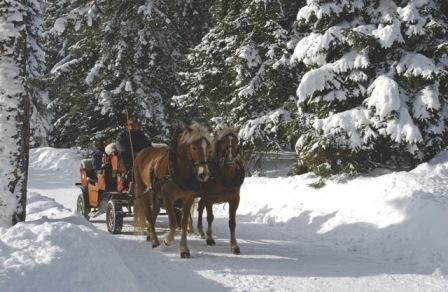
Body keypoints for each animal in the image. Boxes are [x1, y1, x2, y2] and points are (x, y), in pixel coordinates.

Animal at [133, 123, 214, 258]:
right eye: (194, 148)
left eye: (208, 149)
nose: (204, 174)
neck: (178, 171)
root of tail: (142, 152)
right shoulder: (168, 199)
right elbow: (173, 222)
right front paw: (167, 241)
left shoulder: (188, 198)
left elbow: (184, 221)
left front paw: (184, 249)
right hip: (144, 190)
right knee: (149, 214)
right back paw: (155, 241)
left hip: (156, 194)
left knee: (154, 214)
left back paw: (150, 235)